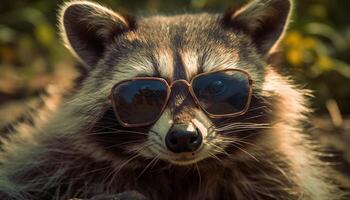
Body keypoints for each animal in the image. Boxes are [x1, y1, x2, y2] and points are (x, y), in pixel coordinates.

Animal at [0, 0, 348, 199]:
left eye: (216, 87)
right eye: (145, 95)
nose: (182, 138)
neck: (179, 171)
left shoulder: (278, 170)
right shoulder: (47, 161)